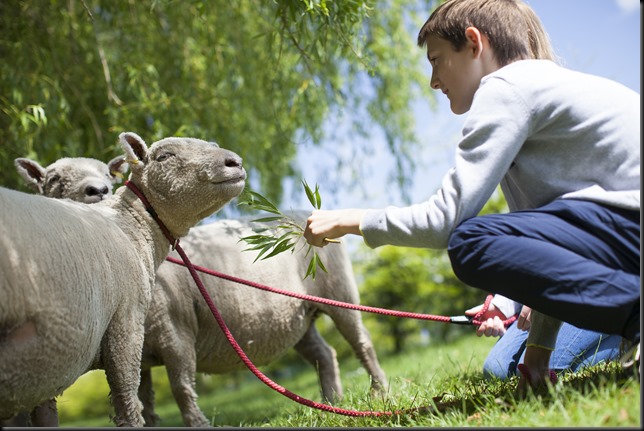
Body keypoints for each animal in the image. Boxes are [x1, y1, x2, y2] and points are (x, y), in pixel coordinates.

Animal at [0, 132, 247, 428]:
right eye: (164, 156)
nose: (234, 162)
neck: (129, 224)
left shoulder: (45, 367)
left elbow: (46, 415)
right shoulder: (125, 321)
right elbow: (128, 395)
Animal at [140, 216, 388, 428]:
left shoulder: (175, 335)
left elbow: (181, 389)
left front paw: (198, 424)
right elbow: (143, 401)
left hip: (340, 292)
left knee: (362, 341)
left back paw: (379, 391)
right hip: (299, 318)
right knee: (324, 354)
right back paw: (331, 401)